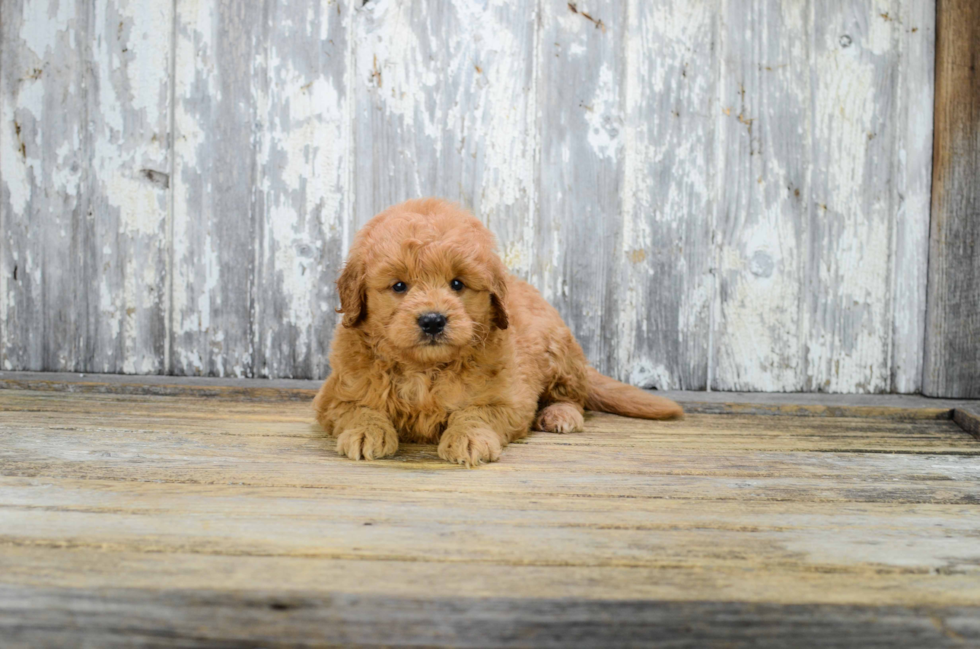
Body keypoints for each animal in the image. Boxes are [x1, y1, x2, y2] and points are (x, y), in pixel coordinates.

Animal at [314, 199, 680, 466]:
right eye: (399, 286)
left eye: (457, 284)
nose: (432, 320)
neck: (425, 370)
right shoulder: (334, 395)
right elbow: (360, 409)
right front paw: (366, 432)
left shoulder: (509, 398)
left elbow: (476, 413)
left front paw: (469, 437)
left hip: (559, 352)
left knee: (573, 396)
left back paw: (560, 414)